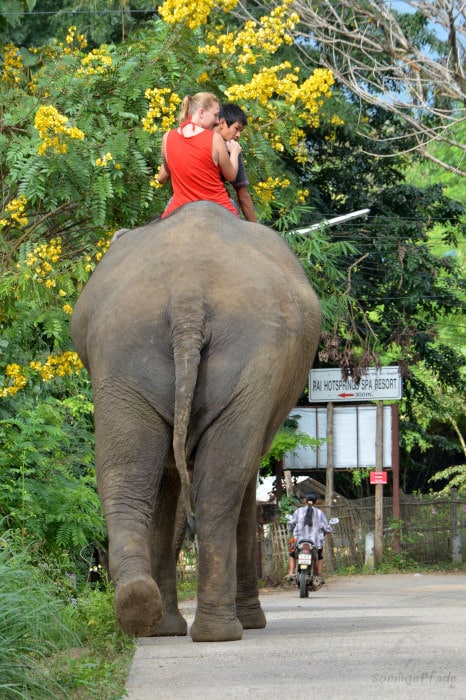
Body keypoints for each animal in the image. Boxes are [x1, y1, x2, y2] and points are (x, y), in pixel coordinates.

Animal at [72, 201, 320, 640]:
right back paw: (223, 630)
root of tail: (188, 298)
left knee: (126, 477)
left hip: (123, 353)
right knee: (222, 486)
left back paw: (143, 609)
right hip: (247, 358)